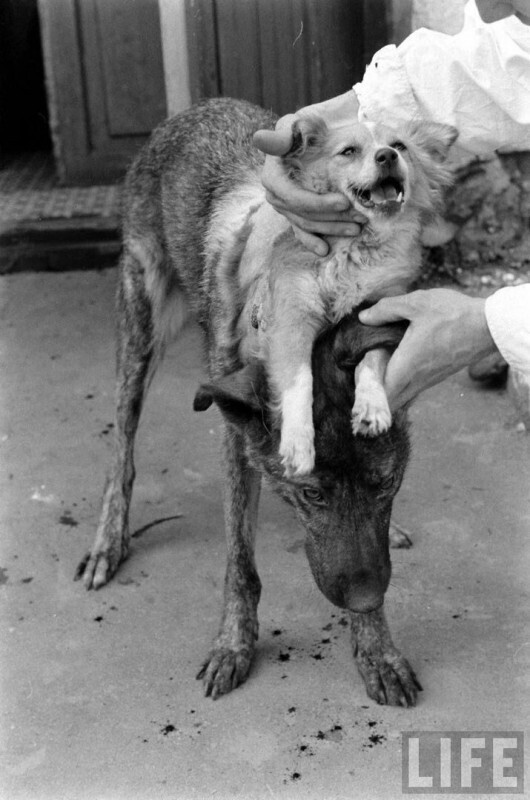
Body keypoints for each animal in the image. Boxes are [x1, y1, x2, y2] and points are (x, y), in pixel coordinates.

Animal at [75, 100, 420, 708]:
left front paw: (376, 646)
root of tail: (194, 110)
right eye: (312, 495)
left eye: (385, 485)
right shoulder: (237, 438)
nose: (361, 600)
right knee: (122, 448)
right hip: (140, 329)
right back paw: (108, 540)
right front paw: (234, 643)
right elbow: (240, 560)